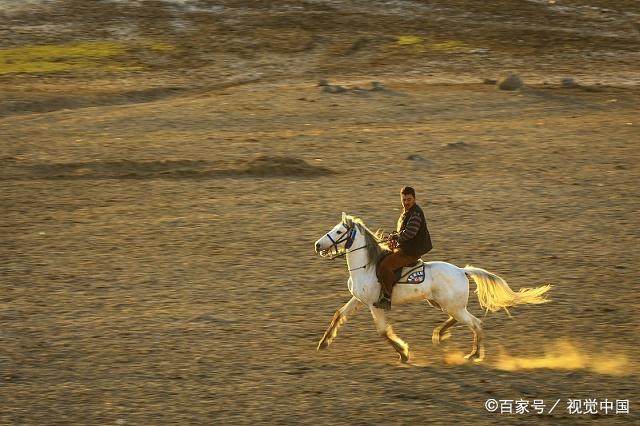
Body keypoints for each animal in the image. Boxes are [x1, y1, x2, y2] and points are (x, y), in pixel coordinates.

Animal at [314, 213, 552, 362]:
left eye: (338, 232)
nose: (317, 245)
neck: (367, 266)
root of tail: (462, 271)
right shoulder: (358, 300)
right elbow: (339, 315)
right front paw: (324, 343)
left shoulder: (375, 304)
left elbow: (382, 331)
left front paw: (404, 354)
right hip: (443, 303)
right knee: (458, 319)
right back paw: (440, 334)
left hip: (452, 306)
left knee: (475, 323)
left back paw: (473, 355)